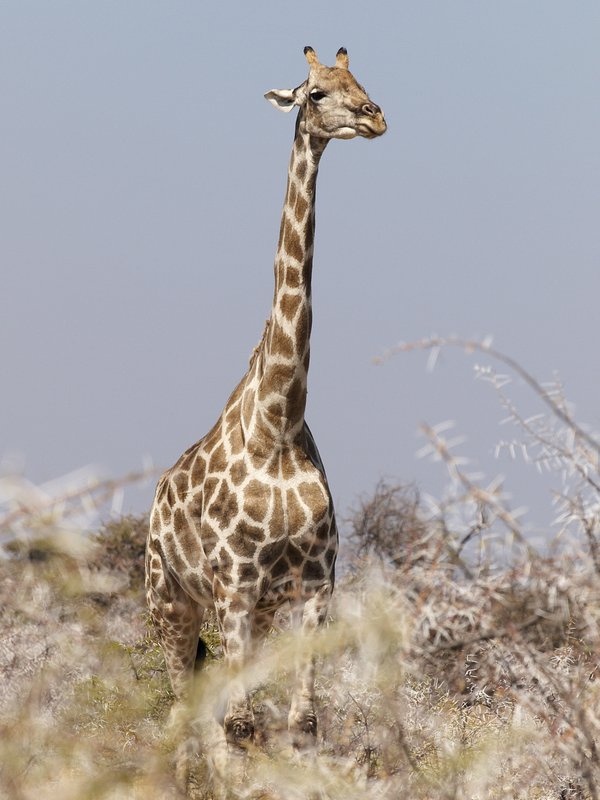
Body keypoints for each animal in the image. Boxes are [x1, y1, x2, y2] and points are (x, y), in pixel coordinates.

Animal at [146, 46, 386, 755]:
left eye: (357, 80)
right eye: (315, 93)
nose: (375, 116)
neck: (279, 420)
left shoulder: (312, 589)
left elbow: (301, 724)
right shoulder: (234, 586)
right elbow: (240, 726)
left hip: (248, 617)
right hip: (171, 605)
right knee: (190, 722)